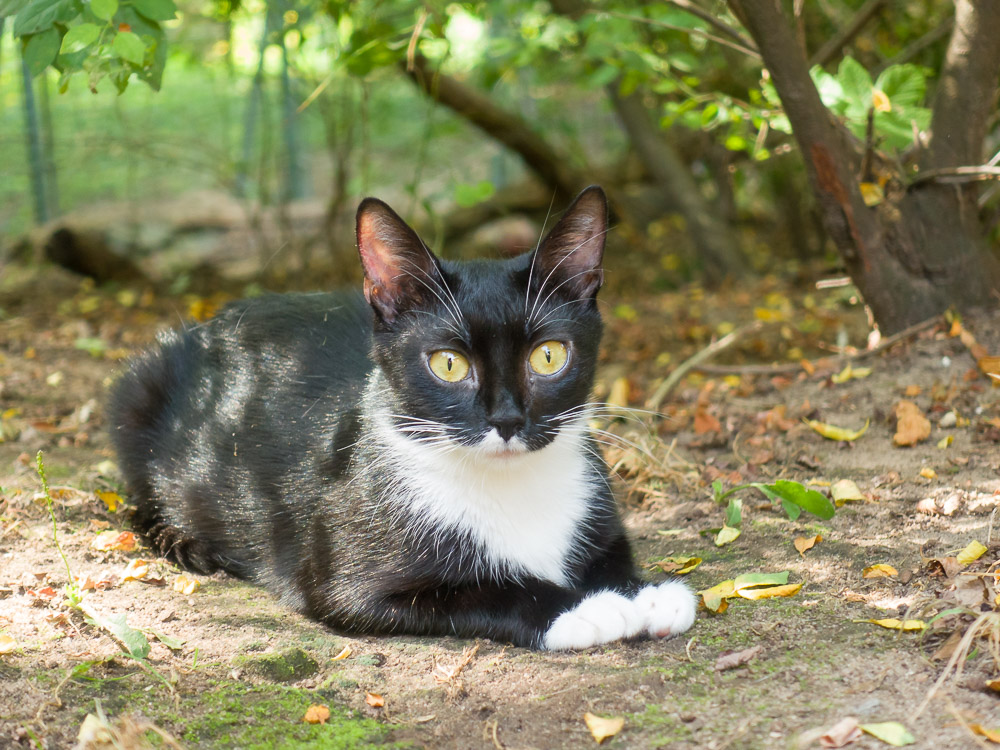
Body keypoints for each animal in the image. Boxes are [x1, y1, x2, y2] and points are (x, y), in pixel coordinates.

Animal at [105, 188, 692, 652]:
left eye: (548, 356)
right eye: (448, 364)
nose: (506, 418)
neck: (507, 486)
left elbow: (612, 556)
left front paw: (643, 592)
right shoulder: (347, 577)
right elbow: (477, 589)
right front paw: (583, 607)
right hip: (135, 389)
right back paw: (184, 541)